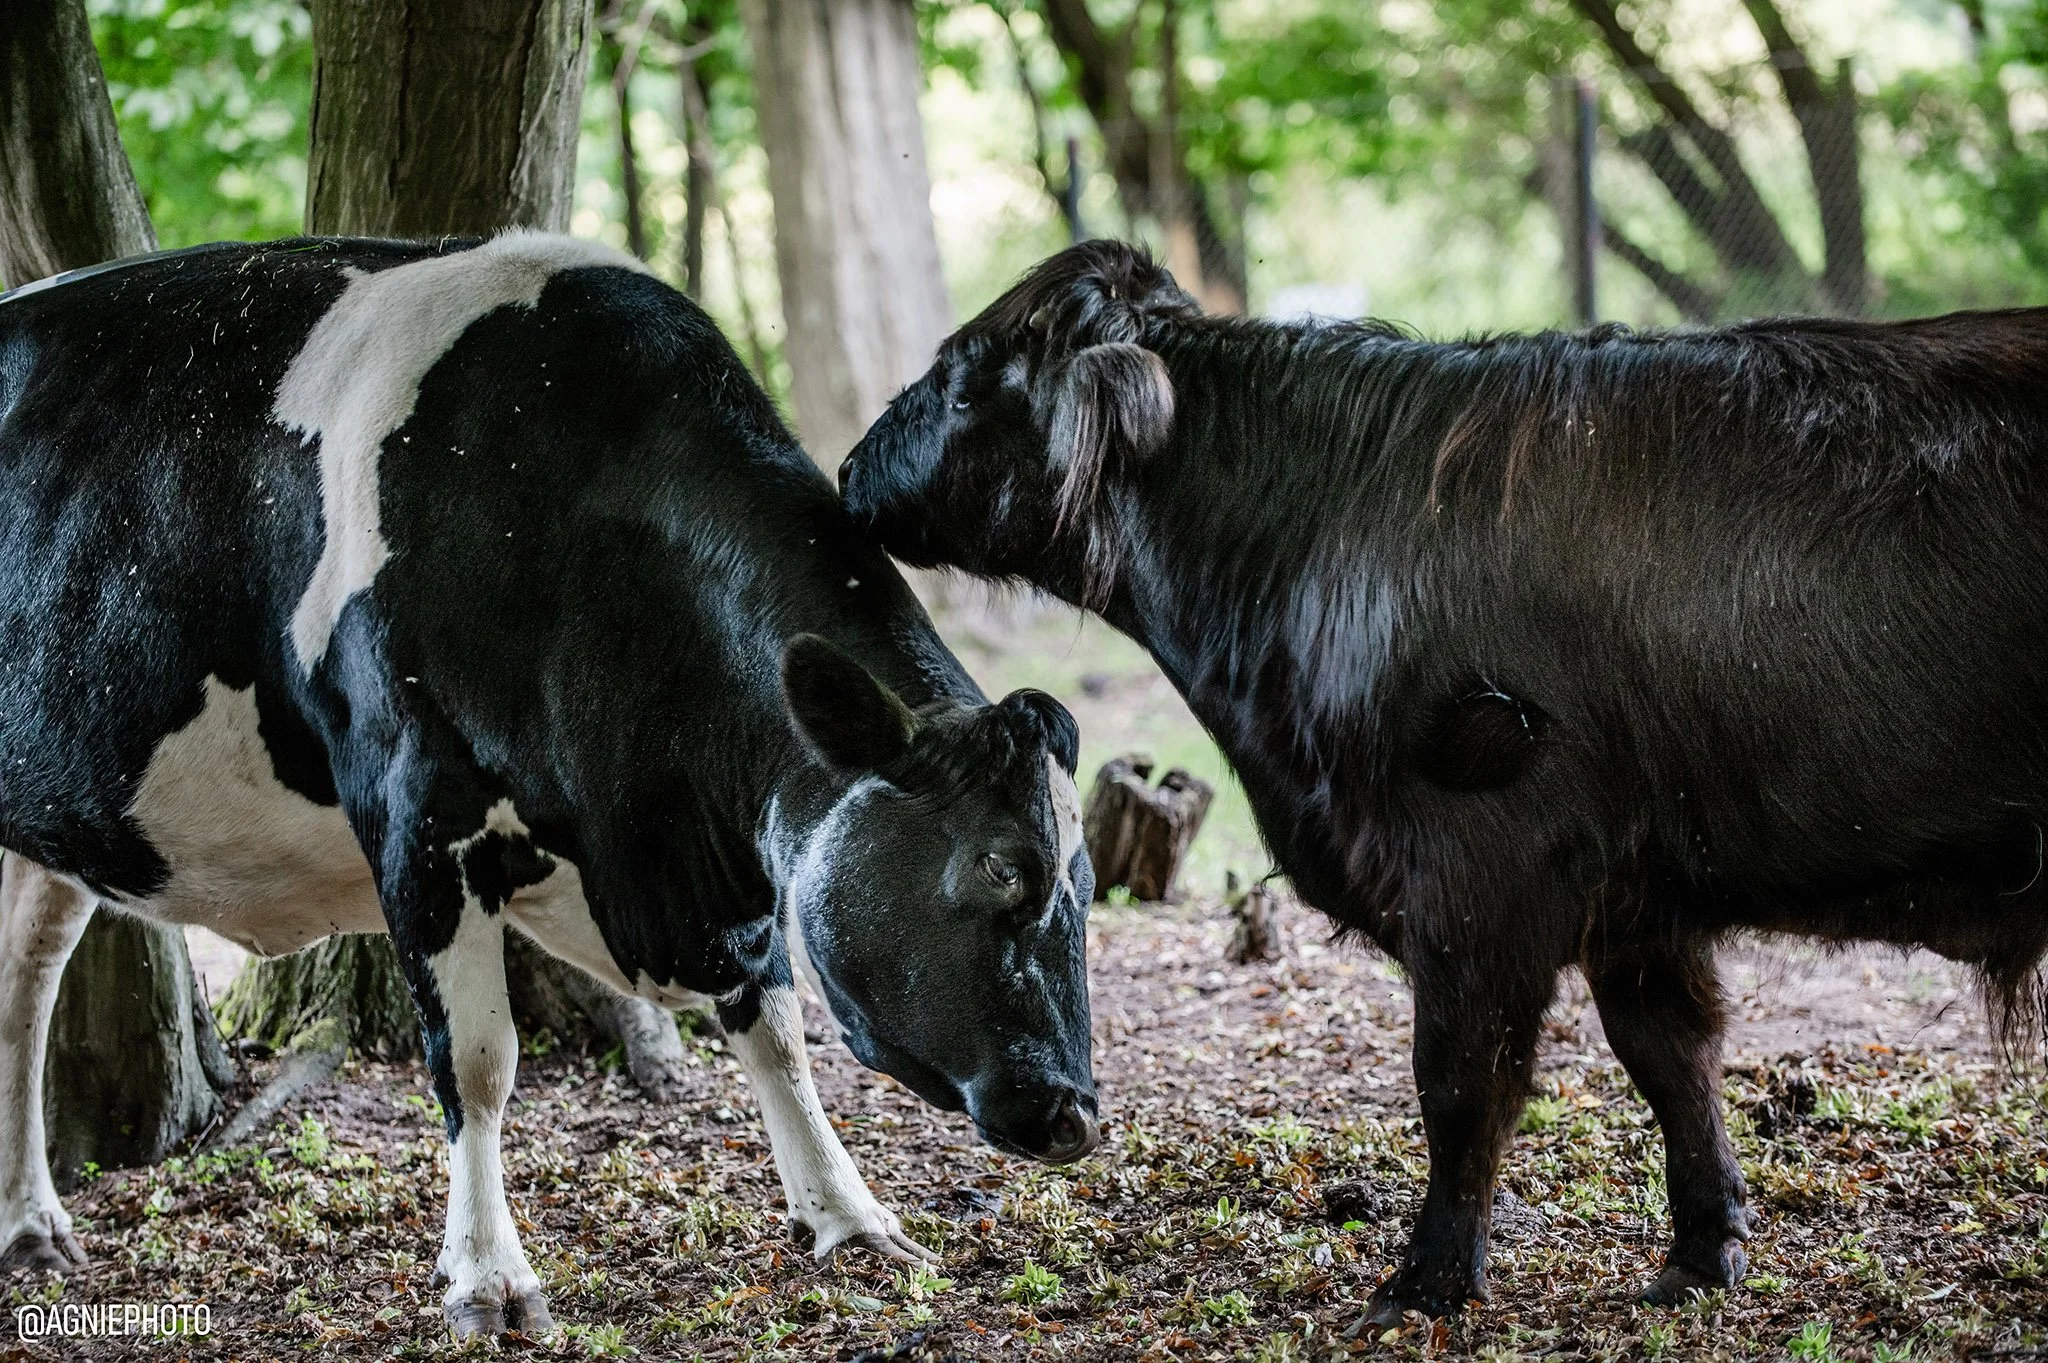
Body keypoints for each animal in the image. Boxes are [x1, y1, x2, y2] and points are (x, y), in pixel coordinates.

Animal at [0, 232, 1100, 1338]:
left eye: (1087, 882)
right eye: (1002, 868)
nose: (1077, 1112)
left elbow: (778, 1032)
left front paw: (847, 1214)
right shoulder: (417, 815)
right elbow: (480, 1063)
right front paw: (488, 1275)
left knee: (24, 984)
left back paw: (31, 1224)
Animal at [841, 239, 2048, 1326]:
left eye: (963, 378)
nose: (849, 470)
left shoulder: (1476, 874)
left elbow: (1462, 1084)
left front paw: (1423, 1284)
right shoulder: (1635, 895)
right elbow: (1673, 1059)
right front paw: (1702, 1253)